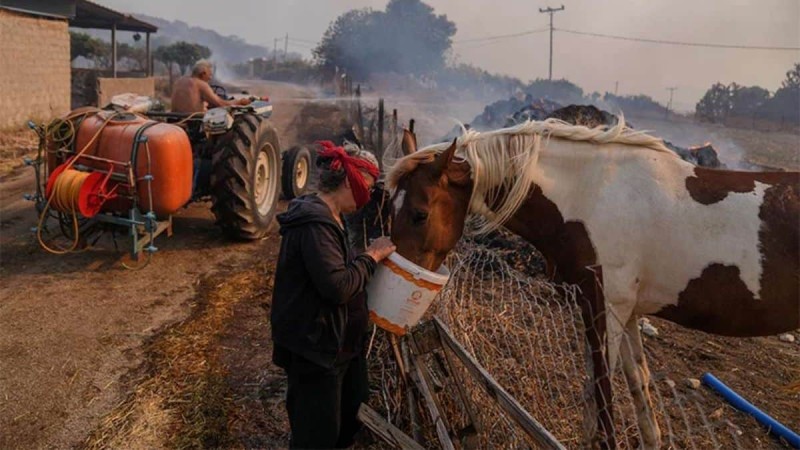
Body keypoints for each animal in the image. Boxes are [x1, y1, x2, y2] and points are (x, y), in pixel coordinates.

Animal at [384, 118, 796, 448]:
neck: (592, 194)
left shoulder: (605, 309)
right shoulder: (625, 312)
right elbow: (636, 389)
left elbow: (601, 400)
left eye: (419, 214)